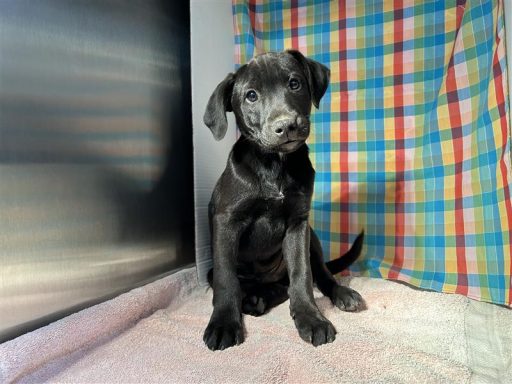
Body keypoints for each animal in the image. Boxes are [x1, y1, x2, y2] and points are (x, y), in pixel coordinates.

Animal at [202, 50, 362, 352]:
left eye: (295, 83)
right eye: (251, 95)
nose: (286, 125)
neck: (274, 164)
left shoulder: (298, 223)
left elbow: (302, 275)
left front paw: (310, 317)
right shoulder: (227, 221)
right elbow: (226, 280)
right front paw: (224, 323)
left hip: (312, 238)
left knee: (314, 275)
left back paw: (339, 293)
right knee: (249, 285)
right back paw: (255, 299)